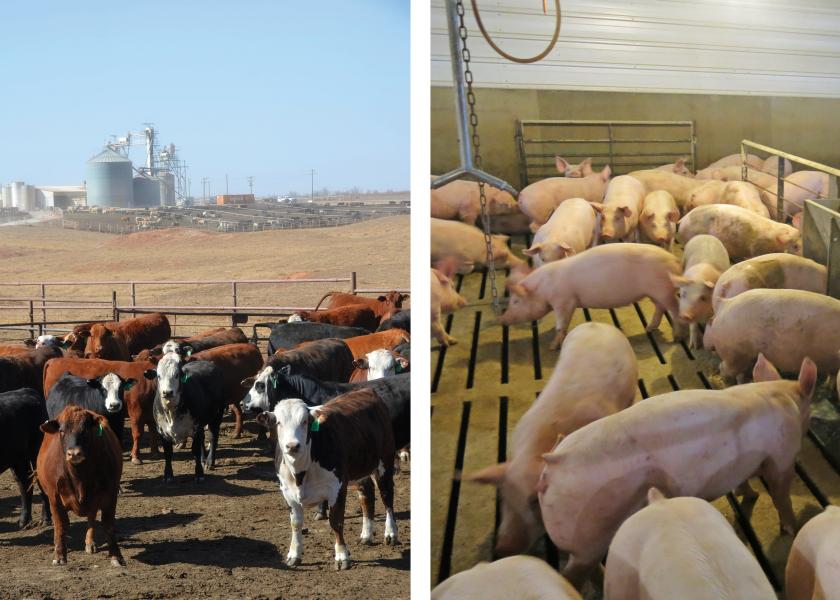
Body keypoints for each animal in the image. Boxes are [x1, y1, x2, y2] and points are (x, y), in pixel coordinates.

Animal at [0, 388, 51, 528]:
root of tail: (26, 390)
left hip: (36, 454)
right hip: (17, 459)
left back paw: (46, 518)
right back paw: (24, 520)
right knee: (24, 483)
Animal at [37, 405, 125, 566]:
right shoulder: (54, 496)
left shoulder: (111, 492)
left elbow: (108, 525)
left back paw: (90, 543)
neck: (79, 479)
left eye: (85, 430)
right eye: (61, 431)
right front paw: (59, 555)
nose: (74, 453)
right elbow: (60, 525)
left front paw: (116, 556)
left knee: (91, 517)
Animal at [143, 353, 226, 482]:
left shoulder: (196, 428)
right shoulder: (162, 431)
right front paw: (168, 475)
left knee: (213, 437)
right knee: (203, 440)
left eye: (177, 375)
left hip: (216, 416)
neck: (172, 412)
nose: (167, 392)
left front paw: (199, 474)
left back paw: (209, 462)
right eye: (159, 376)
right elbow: (168, 453)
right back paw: (203, 460)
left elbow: (195, 451)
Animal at [256, 389, 398, 569]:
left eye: (305, 421)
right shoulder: (287, 492)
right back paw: (366, 535)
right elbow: (296, 524)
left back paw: (391, 534)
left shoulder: (338, 487)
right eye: (278, 422)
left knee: (387, 497)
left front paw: (342, 556)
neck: (300, 472)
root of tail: (366, 391)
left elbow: (336, 522)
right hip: (360, 469)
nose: (292, 446)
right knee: (367, 496)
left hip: (385, 461)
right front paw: (294, 555)